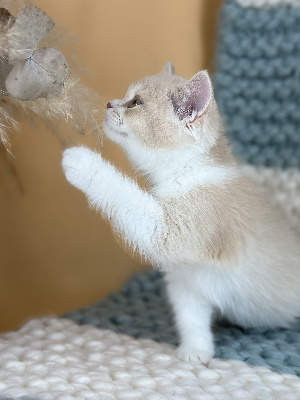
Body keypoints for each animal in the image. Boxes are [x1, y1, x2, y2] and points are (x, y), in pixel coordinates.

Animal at [62, 63, 300, 366]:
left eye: (135, 102)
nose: (109, 103)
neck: (189, 172)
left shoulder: (172, 231)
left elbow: (128, 197)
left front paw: (82, 163)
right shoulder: (186, 282)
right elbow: (191, 318)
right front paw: (196, 351)